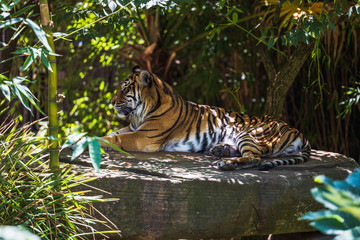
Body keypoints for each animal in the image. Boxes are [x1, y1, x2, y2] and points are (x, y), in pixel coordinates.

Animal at [100, 66, 310, 171]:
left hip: (251, 134)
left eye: (124, 88)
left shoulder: (143, 136)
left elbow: (115, 138)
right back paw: (220, 150)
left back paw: (227, 164)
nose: (111, 102)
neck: (140, 112)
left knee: (255, 158)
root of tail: (296, 130)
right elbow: (112, 132)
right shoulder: (134, 129)